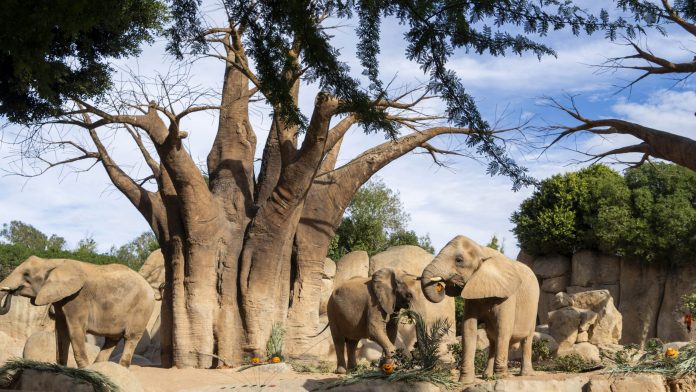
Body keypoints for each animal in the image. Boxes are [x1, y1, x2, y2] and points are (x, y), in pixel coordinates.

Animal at [0, 256, 155, 370]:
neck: (53, 262)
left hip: (142, 310)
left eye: (26, 274)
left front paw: (84, 371)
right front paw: (61, 367)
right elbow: (61, 331)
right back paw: (98, 367)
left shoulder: (78, 299)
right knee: (112, 339)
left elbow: (75, 330)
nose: (11, 292)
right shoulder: (61, 299)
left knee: (130, 338)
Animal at [418, 236, 540, 382]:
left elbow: (503, 328)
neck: (481, 250)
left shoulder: (508, 295)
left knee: (526, 340)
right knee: (492, 340)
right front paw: (465, 381)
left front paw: (502, 377)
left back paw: (525, 374)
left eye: (459, 260)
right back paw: (487, 376)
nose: (440, 285)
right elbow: (468, 328)